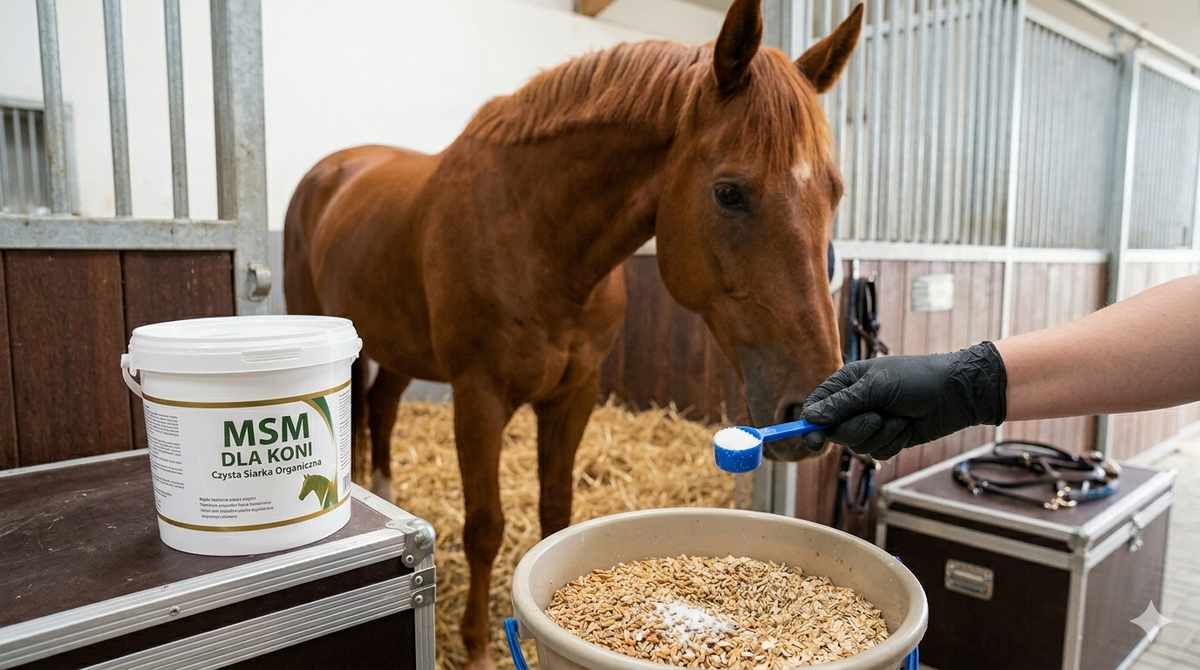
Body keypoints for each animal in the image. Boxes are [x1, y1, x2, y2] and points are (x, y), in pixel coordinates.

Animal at [284, 0, 861, 666]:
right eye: (729, 192)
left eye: (835, 192)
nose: (810, 407)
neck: (537, 237)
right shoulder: (479, 397)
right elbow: (485, 527)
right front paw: (478, 647)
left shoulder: (574, 394)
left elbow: (556, 512)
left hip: (400, 347)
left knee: (382, 409)